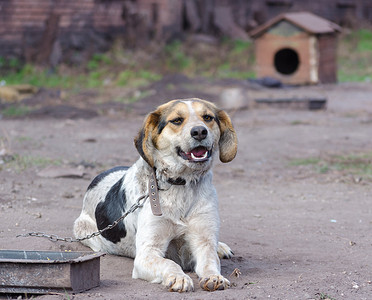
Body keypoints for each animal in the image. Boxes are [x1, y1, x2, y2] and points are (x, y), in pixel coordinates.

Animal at [73, 99, 238, 292]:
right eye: (177, 120)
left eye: (208, 117)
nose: (199, 131)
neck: (181, 184)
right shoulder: (147, 253)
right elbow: (169, 263)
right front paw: (179, 278)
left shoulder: (203, 241)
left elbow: (210, 262)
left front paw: (214, 277)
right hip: (84, 231)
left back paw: (221, 247)